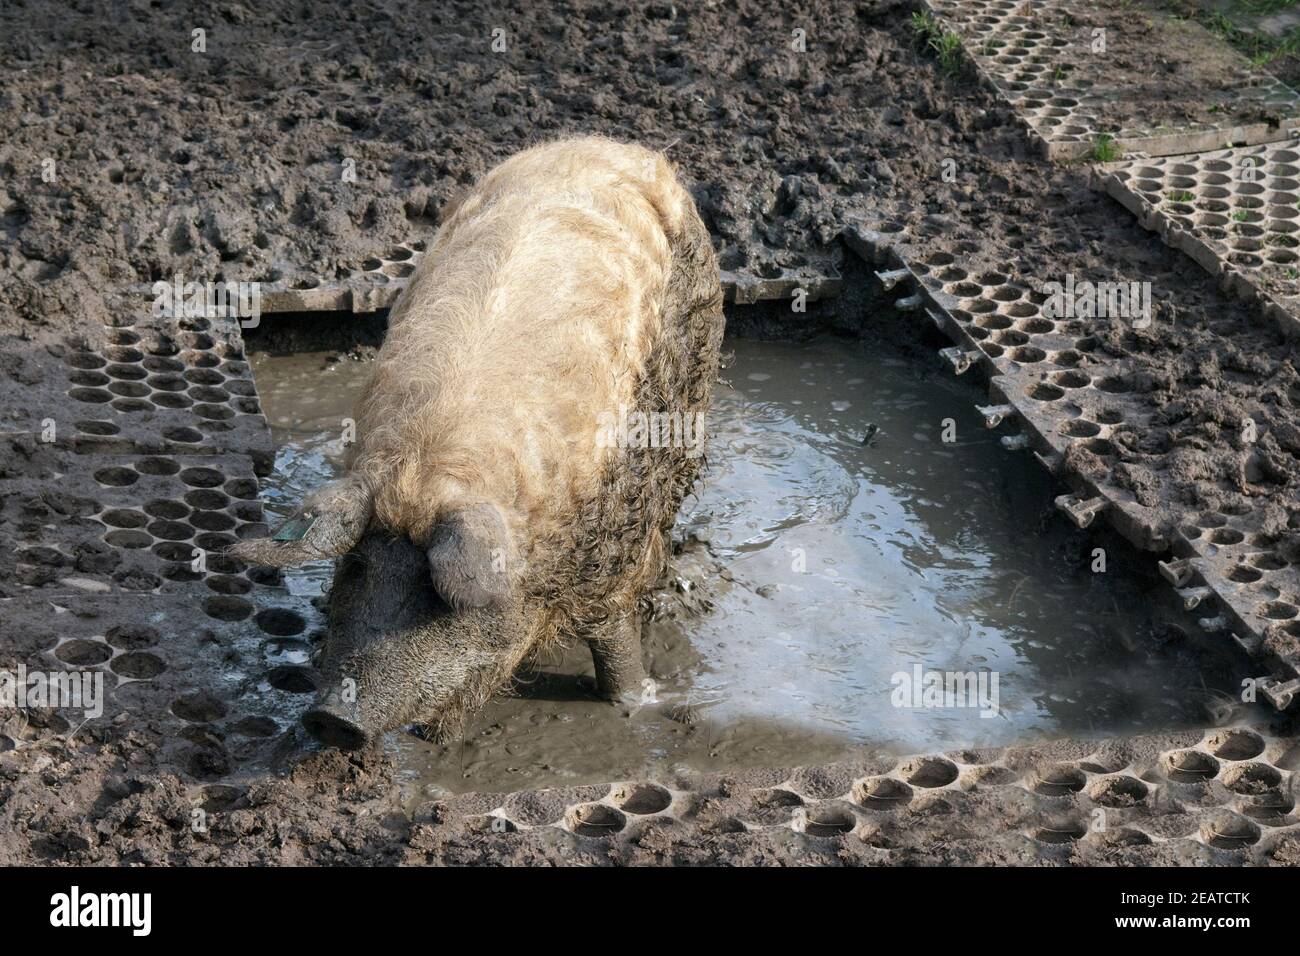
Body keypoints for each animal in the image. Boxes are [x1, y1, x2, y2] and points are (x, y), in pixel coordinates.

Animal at [232, 136, 722, 749]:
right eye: (358, 566)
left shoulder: (611, 545)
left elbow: (611, 634)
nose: (333, 718)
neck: (431, 469)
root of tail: (609, 147)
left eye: (441, 598)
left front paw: (635, 706)